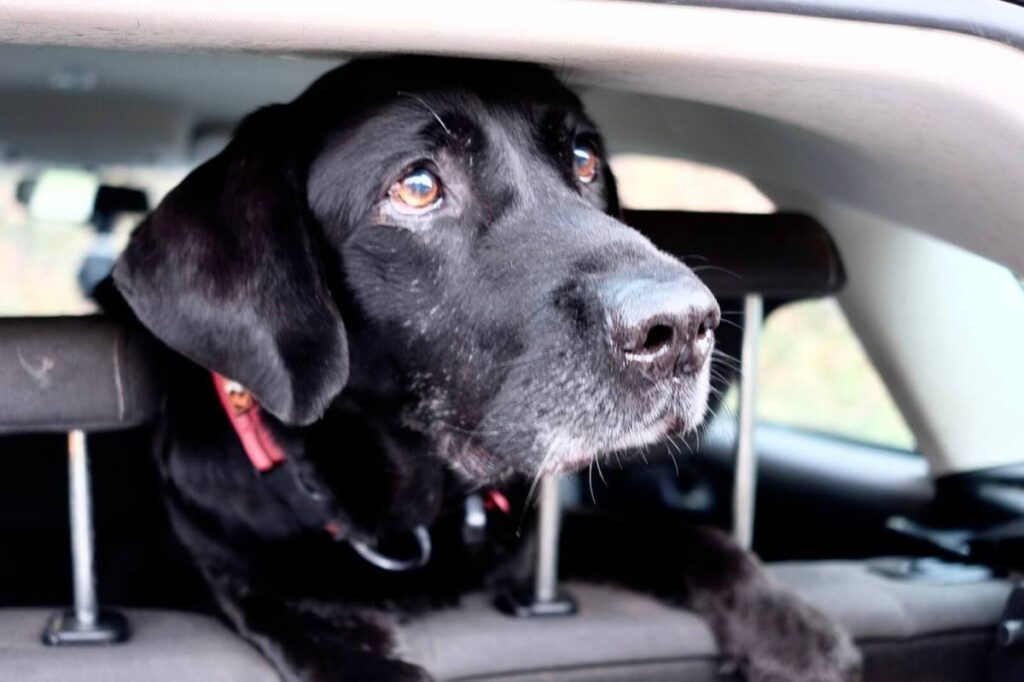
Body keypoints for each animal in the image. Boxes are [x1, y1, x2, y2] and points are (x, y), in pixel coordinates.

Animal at [110, 58, 864, 679]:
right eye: (417, 186)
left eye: (584, 159)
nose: (682, 327)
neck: (415, 517)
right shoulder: (266, 593)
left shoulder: (535, 550)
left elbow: (689, 536)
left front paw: (794, 632)